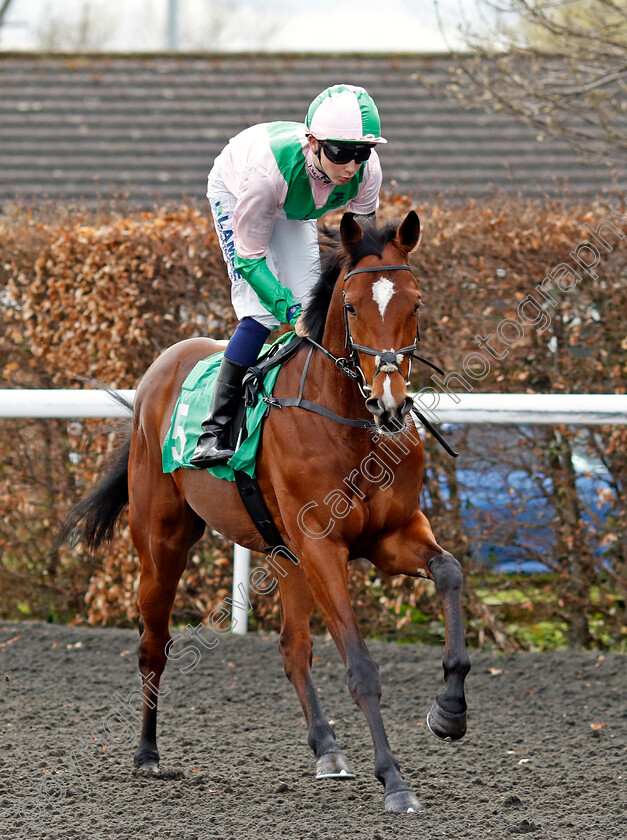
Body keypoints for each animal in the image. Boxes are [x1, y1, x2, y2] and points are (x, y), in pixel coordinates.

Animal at [62, 210, 472, 812]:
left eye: (415, 303)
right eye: (352, 307)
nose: (390, 404)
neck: (350, 425)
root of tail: (159, 370)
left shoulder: (391, 534)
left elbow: (449, 572)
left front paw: (449, 710)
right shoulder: (323, 547)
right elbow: (361, 665)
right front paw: (395, 780)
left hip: (283, 553)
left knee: (292, 648)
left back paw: (327, 749)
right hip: (162, 545)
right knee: (152, 645)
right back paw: (147, 753)